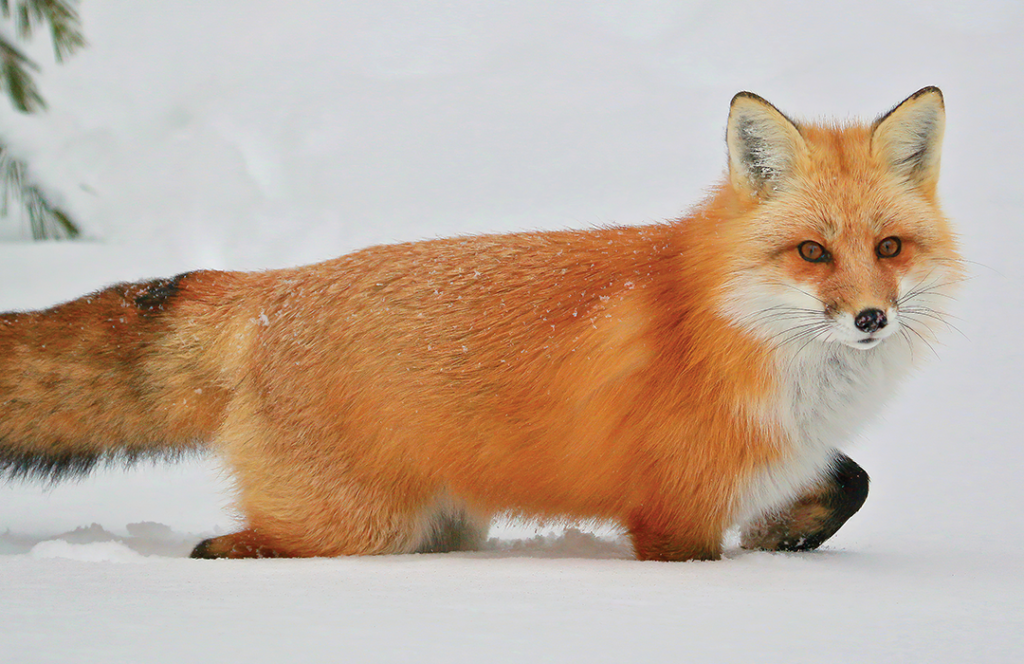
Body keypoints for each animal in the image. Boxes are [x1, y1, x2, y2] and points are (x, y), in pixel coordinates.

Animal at [0, 88, 958, 561]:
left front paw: (785, 539)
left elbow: (850, 480)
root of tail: (272, 288)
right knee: (227, 546)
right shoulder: (672, 518)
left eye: (889, 246)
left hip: (443, 524)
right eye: (811, 253)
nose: (871, 317)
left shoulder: (781, 455)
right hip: (355, 528)